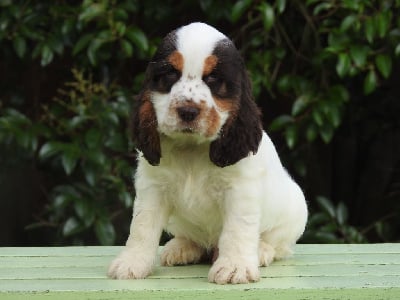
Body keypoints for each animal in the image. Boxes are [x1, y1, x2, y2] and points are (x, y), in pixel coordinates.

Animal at [108, 22, 308, 284]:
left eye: (213, 78)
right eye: (170, 73)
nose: (188, 111)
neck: (192, 148)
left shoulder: (239, 191)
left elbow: (238, 229)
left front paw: (235, 267)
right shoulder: (153, 188)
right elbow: (142, 226)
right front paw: (132, 263)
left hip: (295, 211)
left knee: (278, 244)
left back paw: (261, 250)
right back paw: (181, 247)